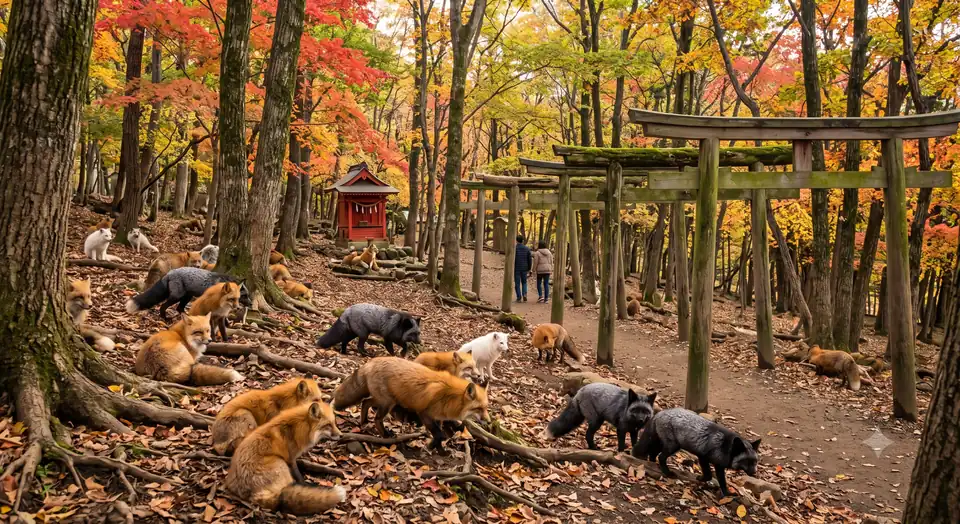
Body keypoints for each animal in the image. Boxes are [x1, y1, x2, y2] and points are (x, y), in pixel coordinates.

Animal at [334, 357, 489, 449]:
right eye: (478, 408)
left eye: (486, 408)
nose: (488, 421)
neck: (450, 397)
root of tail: (372, 361)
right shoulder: (425, 413)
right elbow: (439, 434)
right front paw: (430, 447)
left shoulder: (439, 417)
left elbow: (440, 433)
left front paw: (439, 448)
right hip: (387, 403)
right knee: (377, 418)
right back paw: (385, 435)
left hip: (384, 400)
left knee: (365, 402)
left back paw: (364, 421)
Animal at [632, 407, 761, 495]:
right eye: (746, 461)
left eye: (755, 462)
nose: (754, 473)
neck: (727, 446)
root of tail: (661, 412)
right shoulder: (704, 457)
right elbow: (710, 475)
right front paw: (702, 479)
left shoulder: (719, 465)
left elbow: (722, 481)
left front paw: (726, 493)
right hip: (672, 446)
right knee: (661, 457)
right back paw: (667, 473)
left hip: (662, 443)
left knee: (653, 454)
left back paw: (653, 464)